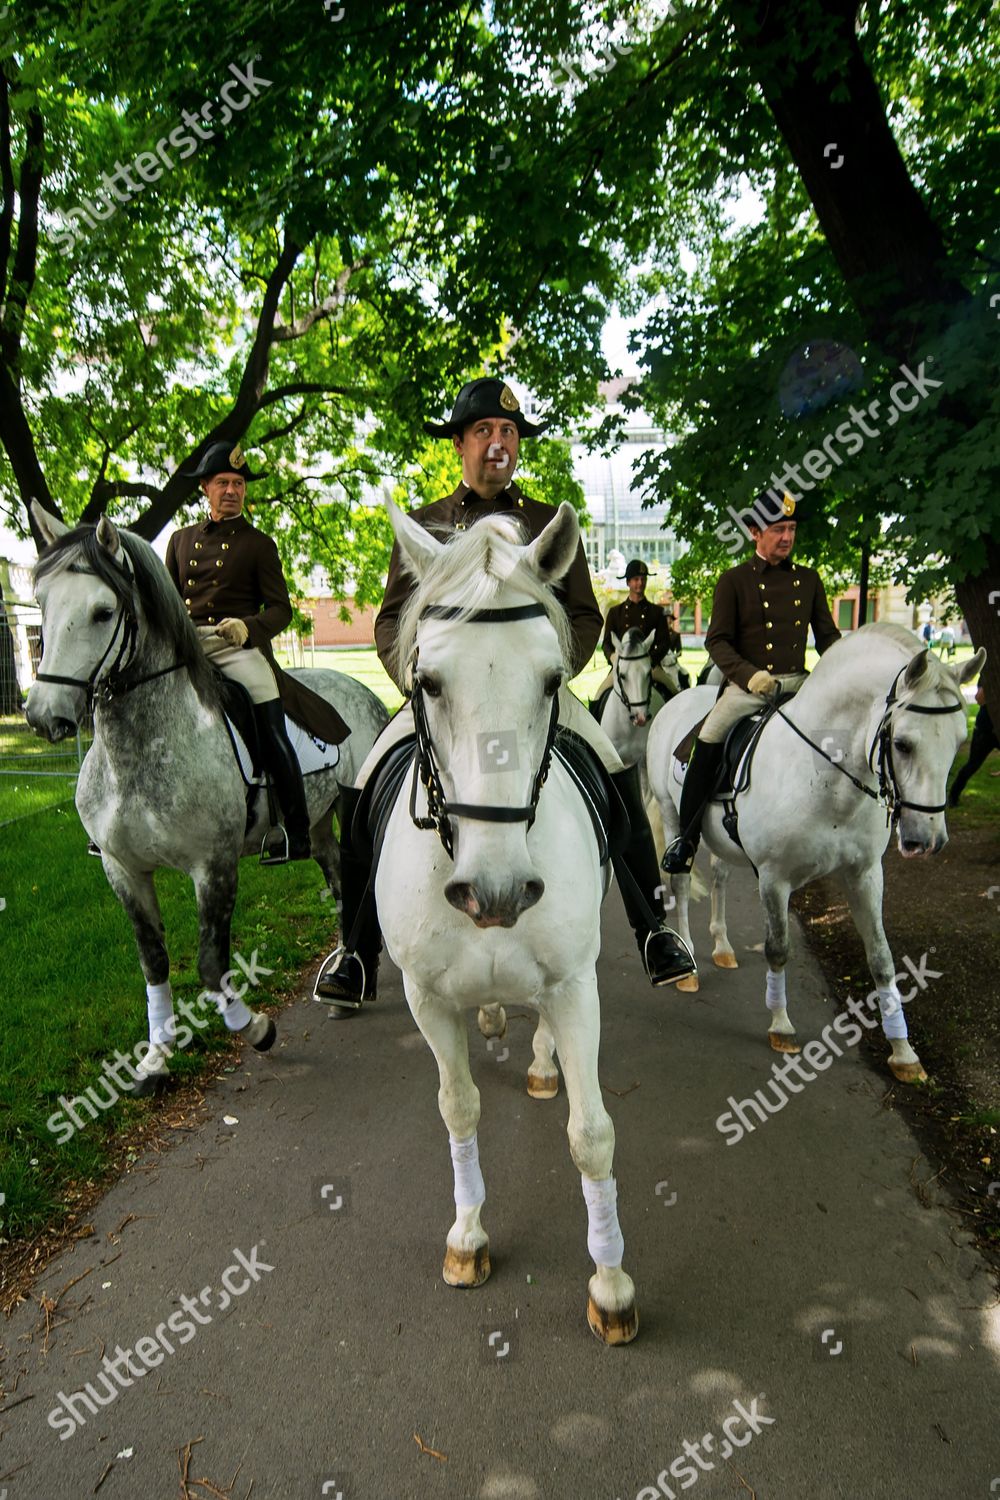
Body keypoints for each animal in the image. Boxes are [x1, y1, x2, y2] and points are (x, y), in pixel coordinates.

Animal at [27, 510, 386, 1098]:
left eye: (103, 612)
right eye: (41, 602)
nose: (43, 715)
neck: (140, 754)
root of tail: (359, 690)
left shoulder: (212, 865)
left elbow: (211, 965)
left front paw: (257, 1028)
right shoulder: (122, 869)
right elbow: (154, 963)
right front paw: (155, 1060)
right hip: (318, 825)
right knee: (337, 880)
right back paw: (341, 976)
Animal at [371, 501, 638, 1350]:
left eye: (553, 679)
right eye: (426, 681)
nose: (496, 891)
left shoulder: (576, 987)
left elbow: (592, 1135)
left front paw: (611, 1282)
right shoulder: (425, 998)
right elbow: (458, 1107)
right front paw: (468, 1236)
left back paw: (543, 1061)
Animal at [650, 627, 983, 1086]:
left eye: (959, 742)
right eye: (902, 744)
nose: (928, 840)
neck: (825, 774)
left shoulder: (865, 875)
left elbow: (881, 959)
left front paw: (903, 1051)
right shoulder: (774, 878)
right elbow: (778, 948)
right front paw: (781, 1025)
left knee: (719, 876)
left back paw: (722, 946)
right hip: (673, 817)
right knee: (681, 885)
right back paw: (690, 965)